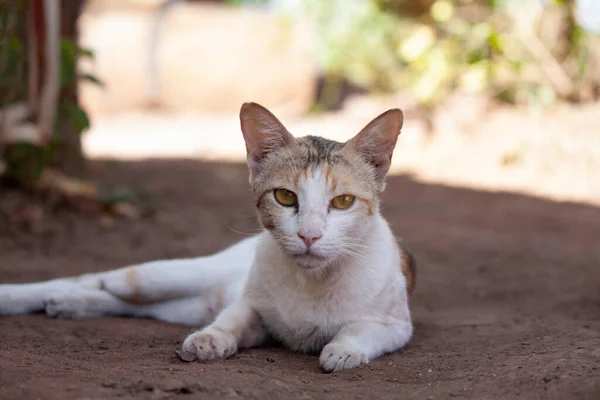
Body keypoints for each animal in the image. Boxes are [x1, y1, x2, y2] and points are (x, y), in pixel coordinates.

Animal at [0, 102, 414, 372]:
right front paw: (211, 339)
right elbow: (231, 321)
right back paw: (55, 295)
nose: (308, 235)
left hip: (182, 305)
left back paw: (71, 304)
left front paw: (342, 351)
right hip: (167, 277)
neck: (312, 282)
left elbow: (360, 331)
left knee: (126, 302)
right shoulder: (252, 307)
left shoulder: (396, 326)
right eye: (285, 197)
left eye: (343, 202)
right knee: (109, 281)